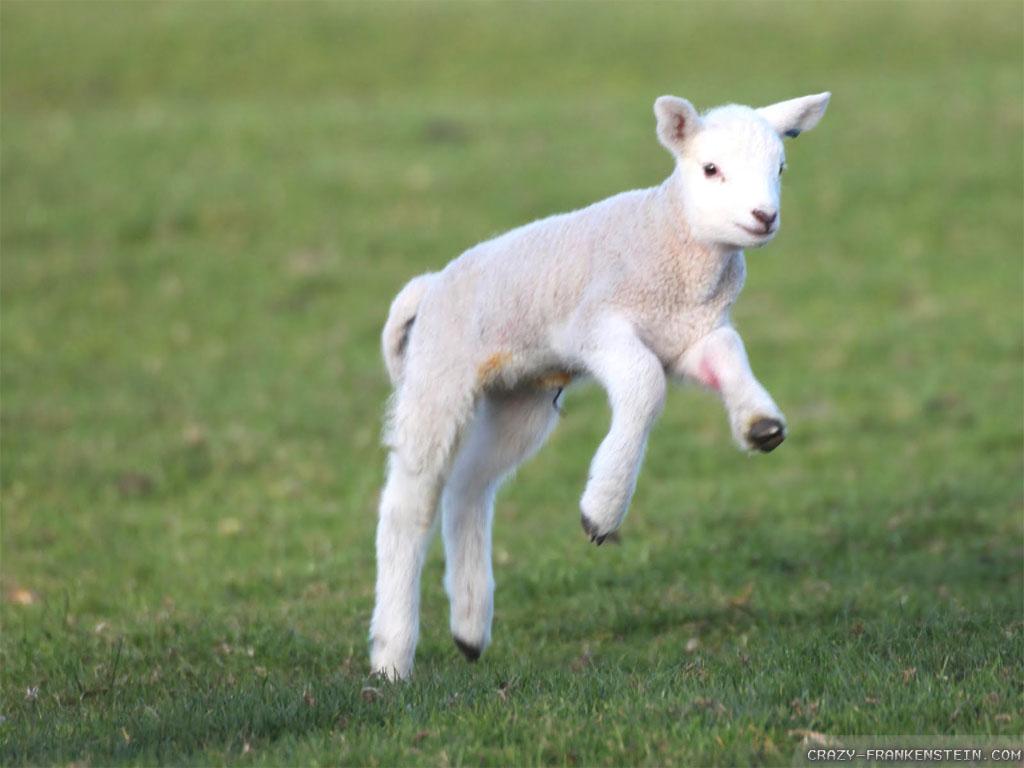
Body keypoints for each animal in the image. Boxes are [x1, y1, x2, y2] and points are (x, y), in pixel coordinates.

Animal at [370, 92, 831, 679]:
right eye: (710, 169)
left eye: (781, 168)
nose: (764, 217)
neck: (673, 244)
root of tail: (429, 287)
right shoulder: (596, 325)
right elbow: (646, 383)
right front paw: (602, 510)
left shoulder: (691, 335)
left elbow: (728, 354)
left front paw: (761, 425)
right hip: (439, 373)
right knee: (410, 502)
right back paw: (392, 654)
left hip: (521, 397)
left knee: (469, 487)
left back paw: (469, 628)